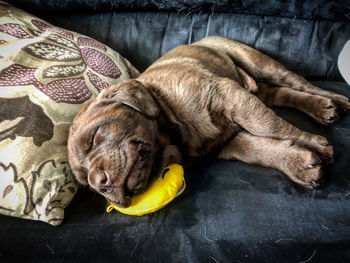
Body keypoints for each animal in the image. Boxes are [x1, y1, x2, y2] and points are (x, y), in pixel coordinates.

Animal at [66, 36, 350, 208]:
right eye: (85, 184)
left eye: (94, 137)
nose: (99, 184)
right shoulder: (227, 141)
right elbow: (257, 149)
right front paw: (299, 164)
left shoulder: (229, 95)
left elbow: (269, 126)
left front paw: (315, 145)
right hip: (256, 87)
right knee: (279, 94)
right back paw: (320, 108)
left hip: (259, 63)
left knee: (299, 82)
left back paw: (336, 100)